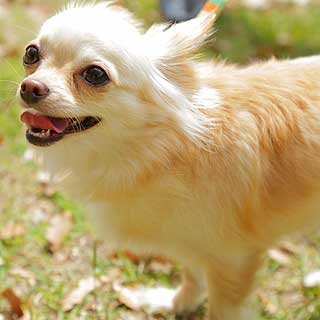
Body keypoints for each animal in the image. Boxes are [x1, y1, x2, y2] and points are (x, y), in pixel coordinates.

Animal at [17, 1, 320, 318]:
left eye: (95, 75)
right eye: (31, 54)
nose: (30, 87)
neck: (163, 151)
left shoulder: (233, 259)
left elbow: (220, 307)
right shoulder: (191, 240)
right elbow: (192, 273)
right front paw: (179, 305)